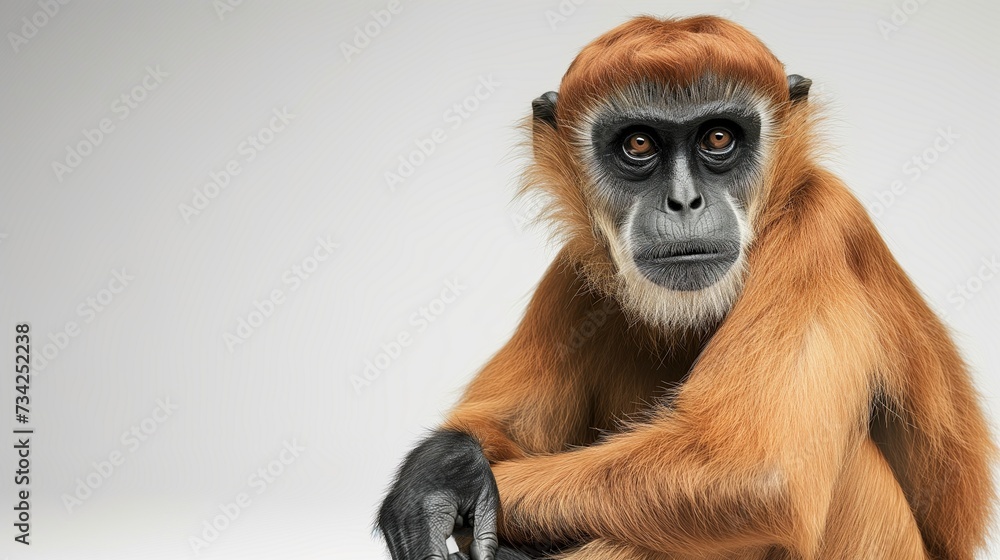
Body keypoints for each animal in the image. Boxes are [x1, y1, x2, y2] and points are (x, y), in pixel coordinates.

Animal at [376, 15, 995, 560]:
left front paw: (463, 490)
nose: (684, 201)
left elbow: (754, 473)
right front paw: (447, 470)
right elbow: (502, 429)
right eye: (639, 146)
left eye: (718, 137)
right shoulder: (575, 272)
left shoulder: (821, 230)